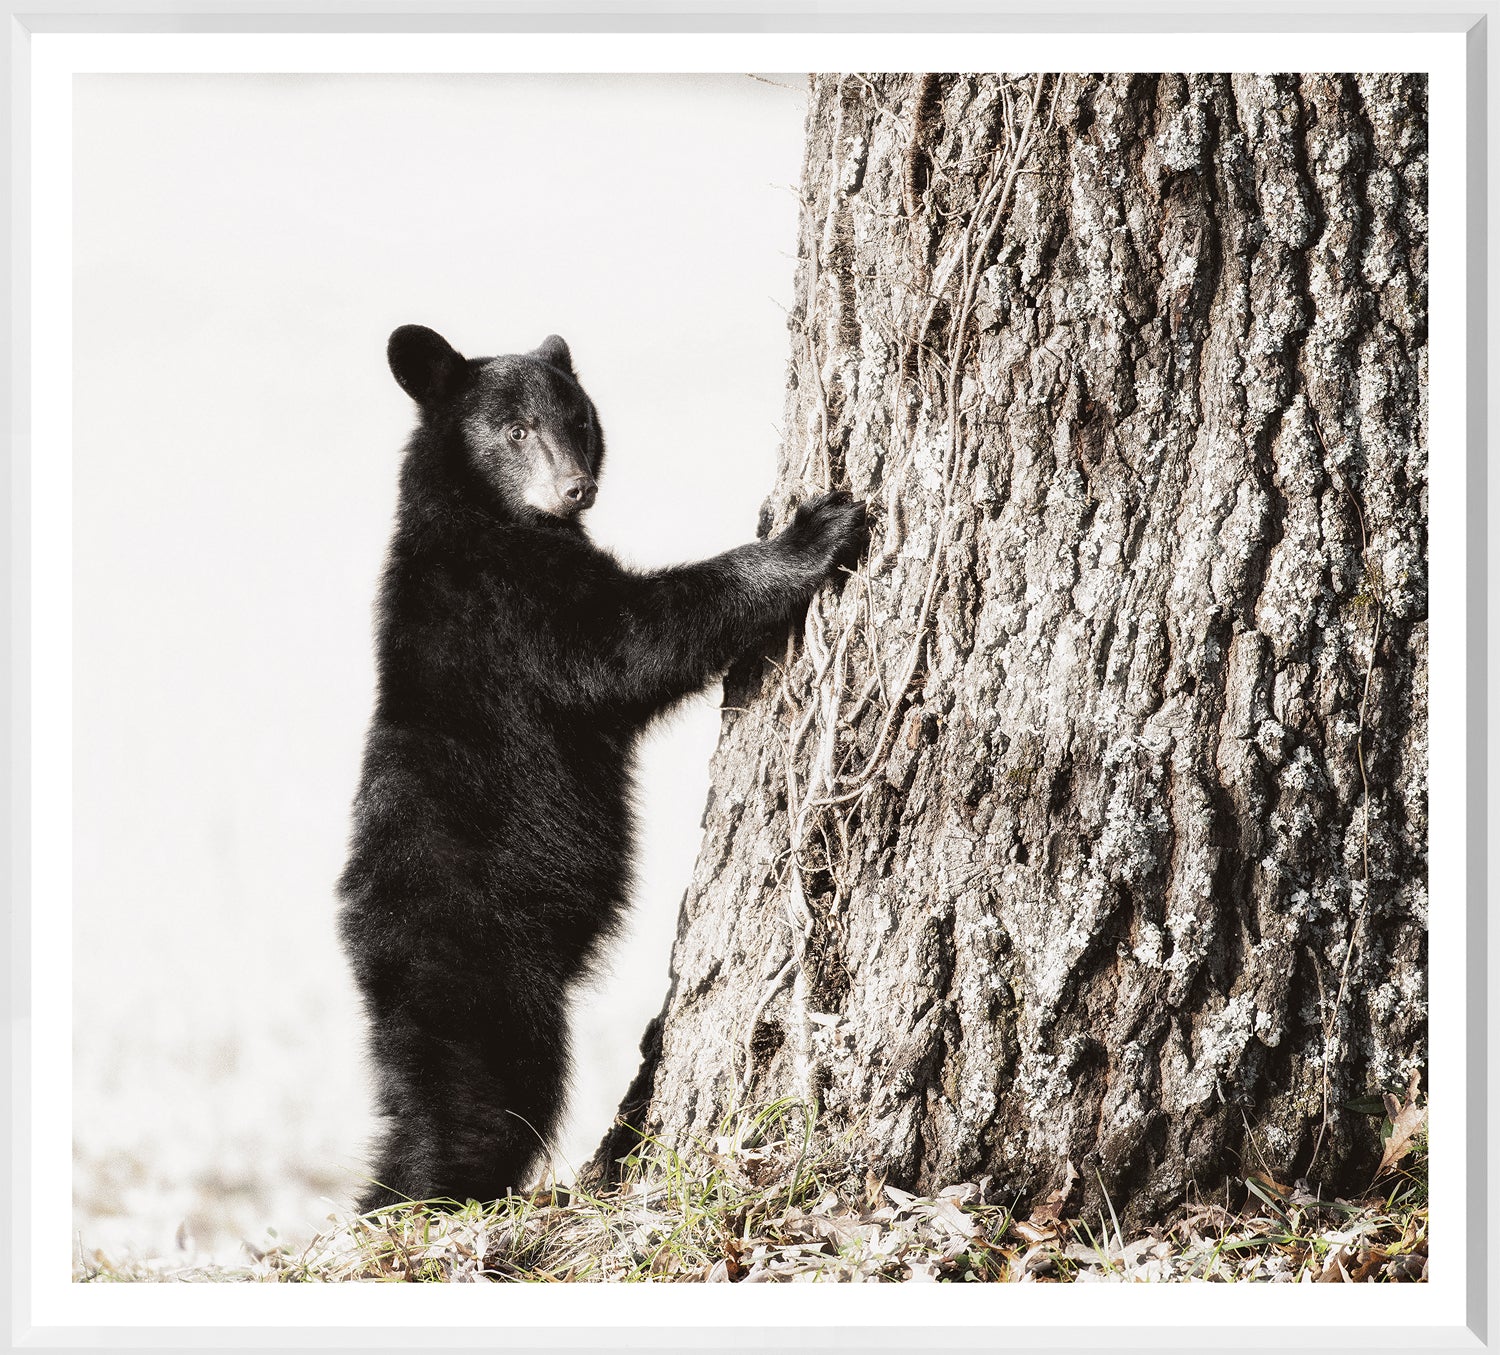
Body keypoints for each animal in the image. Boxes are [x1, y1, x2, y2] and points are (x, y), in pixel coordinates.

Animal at [337, 325, 867, 1212]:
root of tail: (370, 955)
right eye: (516, 430)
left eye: (580, 419)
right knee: (484, 1099)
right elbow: (628, 643)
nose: (575, 489)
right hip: (482, 966)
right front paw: (814, 532)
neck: (480, 513)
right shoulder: (511, 604)